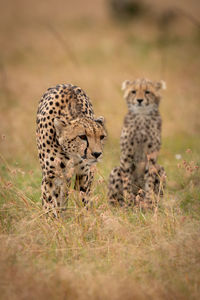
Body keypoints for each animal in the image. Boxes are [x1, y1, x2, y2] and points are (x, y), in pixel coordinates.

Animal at [36, 83, 107, 217]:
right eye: (82, 136)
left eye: (101, 137)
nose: (97, 154)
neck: (72, 155)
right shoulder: (51, 177)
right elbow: (50, 204)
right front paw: (52, 220)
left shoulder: (84, 174)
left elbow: (83, 198)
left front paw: (85, 217)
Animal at [108, 78, 166, 209]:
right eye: (133, 91)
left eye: (147, 92)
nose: (139, 100)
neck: (142, 116)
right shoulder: (126, 154)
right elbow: (126, 180)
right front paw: (128, 200)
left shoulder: (151, 155)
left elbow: (150, 180)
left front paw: (148, 202)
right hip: (116, 171)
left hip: (161, 170)